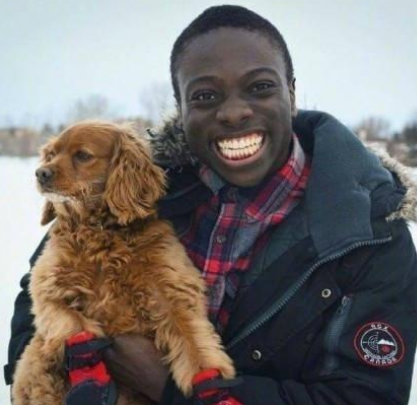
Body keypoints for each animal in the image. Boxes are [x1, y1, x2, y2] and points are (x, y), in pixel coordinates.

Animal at [12, 121, 235, 405]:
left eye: (82, 155)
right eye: (51, 154)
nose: (40, 173)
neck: (101, 235)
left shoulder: (172, 291)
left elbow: (194, 342)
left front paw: (211, 386)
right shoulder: (47, 286)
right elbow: (73, 325)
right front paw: (89, 376)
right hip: (34, 365)